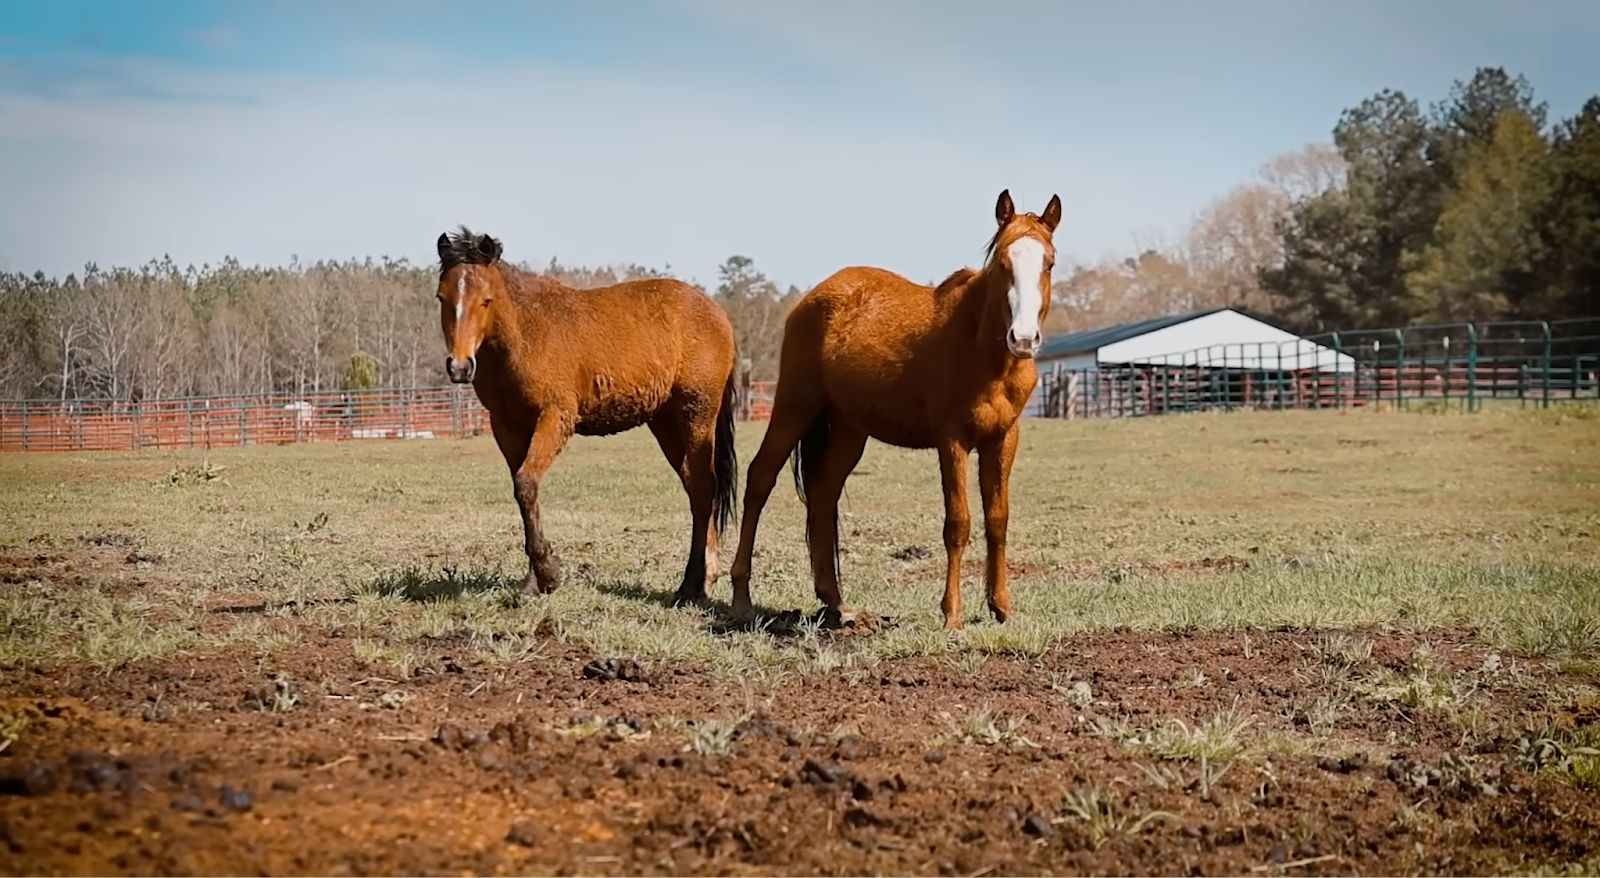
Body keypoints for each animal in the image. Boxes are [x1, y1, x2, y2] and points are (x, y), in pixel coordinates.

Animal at [435, 227, 740, 601]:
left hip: (698, 416)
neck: (526, 333)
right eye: (441, 298)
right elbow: (525, 493)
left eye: (486, 300)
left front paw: (548, 575)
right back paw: (700, 581)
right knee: (696, 489)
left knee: (704, 486)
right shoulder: (507, 428)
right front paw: (534, 581)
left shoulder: (556, 418)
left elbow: (526, 484)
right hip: (666, 424)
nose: (460, 367)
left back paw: (693, 584)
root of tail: (716, 313)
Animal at [727, 190, 1061, 629]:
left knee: (823, 493)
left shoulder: (1003, 438)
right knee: (760, 479)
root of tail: (812, 300)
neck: (982, 351)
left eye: (1049, 262)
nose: (1023, 339)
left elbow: (997, 521)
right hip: (794, 407)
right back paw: (741, 596)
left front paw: (1002, 608)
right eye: (1003, 262)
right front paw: (952, 615)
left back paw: (836, 602)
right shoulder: (952, 440)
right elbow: (958, 523)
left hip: (848, 429)